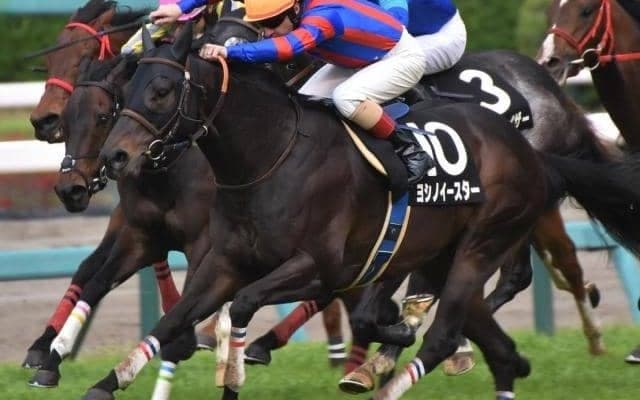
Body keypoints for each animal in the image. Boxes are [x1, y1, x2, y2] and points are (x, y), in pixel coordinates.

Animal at [82, 25, 640, 400]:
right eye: (125, 91)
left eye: (160, 91)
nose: (115, 158)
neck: (271, 156)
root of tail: (530, 151)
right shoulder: (223, 262)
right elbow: (174, 318)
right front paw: (107, 381)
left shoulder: (319, 268)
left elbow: (242, 307)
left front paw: (237, 372)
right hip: (447, 253)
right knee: (494, 344)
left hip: (482, 244)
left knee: (449, 331)